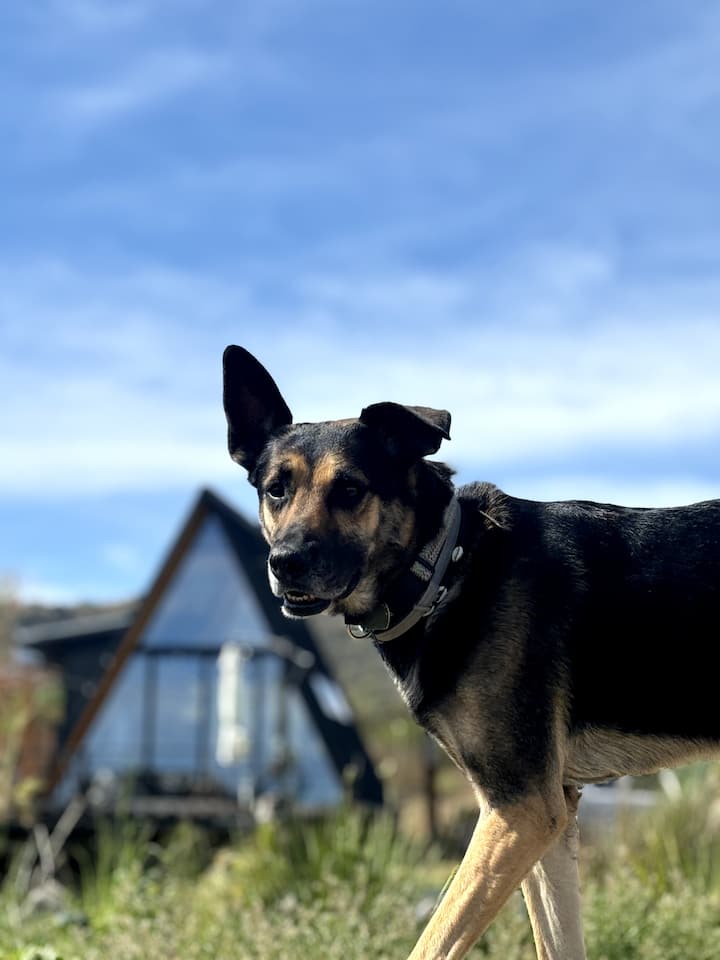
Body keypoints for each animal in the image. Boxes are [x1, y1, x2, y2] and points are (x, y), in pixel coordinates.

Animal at [222, 344, 720, 960]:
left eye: (351, 491)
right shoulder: (548, 812)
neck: (445, 565)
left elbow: (432, 942)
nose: (285, 563)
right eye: (276, 490)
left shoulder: (521, 809)